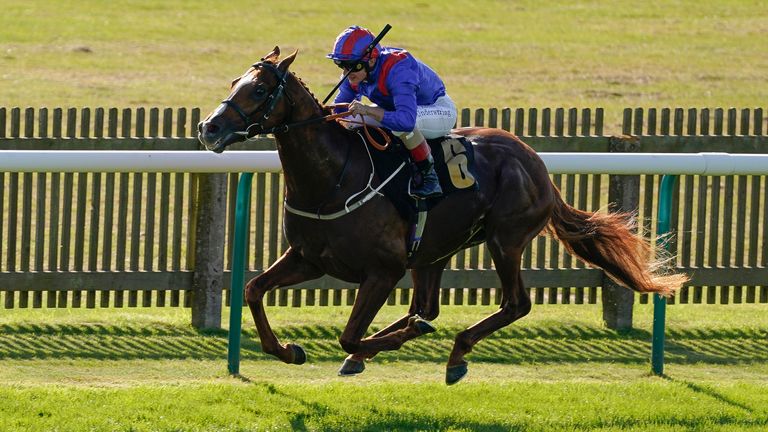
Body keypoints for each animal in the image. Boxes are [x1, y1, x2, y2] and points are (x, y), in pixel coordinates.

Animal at [196, 48, 684, 384]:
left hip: (505, 239)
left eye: (260, 90)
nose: (209, 128)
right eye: (235, 81)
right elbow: (253, 290)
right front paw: (289, 350)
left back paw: (454, 354)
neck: (332, 178)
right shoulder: (309, 258)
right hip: (433, 251)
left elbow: (350, 333)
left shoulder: (383, 270)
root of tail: (535, 162)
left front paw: (369, 345)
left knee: (514, 304)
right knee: (426, 307)